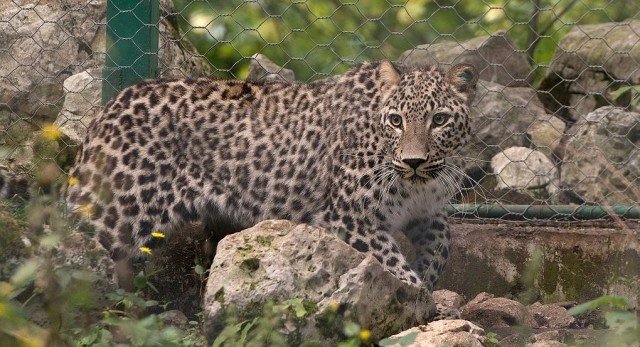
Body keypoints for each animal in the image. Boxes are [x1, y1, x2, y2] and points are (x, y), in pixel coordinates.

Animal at [63, 60, 476, 294]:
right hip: (117, 213)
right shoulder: (351, 218)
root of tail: (106, 110)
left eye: (439, 120)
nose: (413, 161)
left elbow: (444, 242)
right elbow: (391, 264)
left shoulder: (426, 211)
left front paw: (427, 280)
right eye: (396, 120)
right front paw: (415, 297)